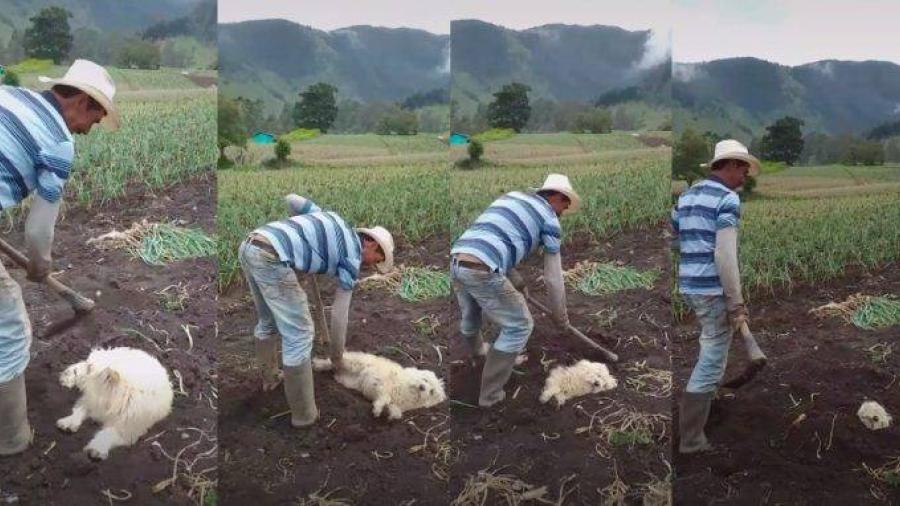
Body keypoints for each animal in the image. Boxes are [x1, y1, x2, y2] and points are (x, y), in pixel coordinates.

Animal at [312, 352, 446, 420]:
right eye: (425, 380)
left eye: (432, 391)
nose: (423, 387)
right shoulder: (382, 383)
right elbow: (383, 396)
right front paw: (378, 409)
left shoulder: (395, 403)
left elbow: (395, 411)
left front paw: (383, 411)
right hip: (356, 362)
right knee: (334, 361)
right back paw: (318, 364)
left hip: (347, 380)